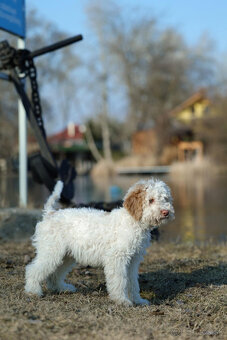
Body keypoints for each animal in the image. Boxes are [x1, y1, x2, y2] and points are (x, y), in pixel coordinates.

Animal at [24, 178, 174, 306]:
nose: (166, 212)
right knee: (33, 269)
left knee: (54, 274)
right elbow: (120, 280)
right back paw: (33, 290)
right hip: (51, 251)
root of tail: (50, 214)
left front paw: (138, 300)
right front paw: (122, 300)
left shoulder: (133, 260)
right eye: (151, 200)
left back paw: (62, 288)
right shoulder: (117, 258)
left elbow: (133, 282)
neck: (133, 221)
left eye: (165, 198)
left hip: (65, 255)